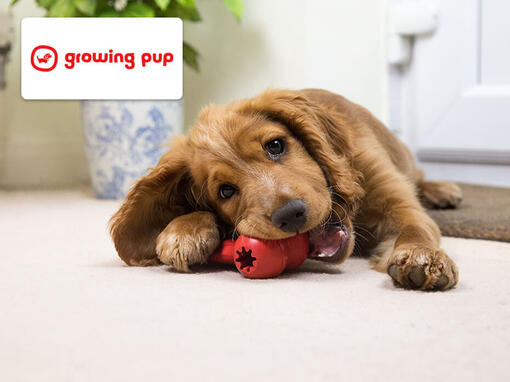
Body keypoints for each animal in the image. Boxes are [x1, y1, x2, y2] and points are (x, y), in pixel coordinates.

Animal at [110, 89, 462, 290]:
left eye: (276, 145)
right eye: (225, 191)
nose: (290, 215)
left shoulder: (396, 202)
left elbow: (415, 227)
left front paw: (423, 257)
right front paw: (183, 230)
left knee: (419, 177)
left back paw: (442, 190)